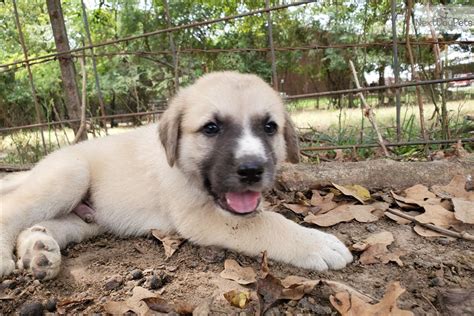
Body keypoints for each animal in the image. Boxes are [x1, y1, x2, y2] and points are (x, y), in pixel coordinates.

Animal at [0, 71, 352, 278]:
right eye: (211, 128)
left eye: (269, 127)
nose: (252, 169)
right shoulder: (199, 217)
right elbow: (264, 223)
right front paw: (316, 243)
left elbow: (261, 216)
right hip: (70, 175)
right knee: (10, 212)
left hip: (89, 220)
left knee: (39, 225)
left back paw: (39, 251)